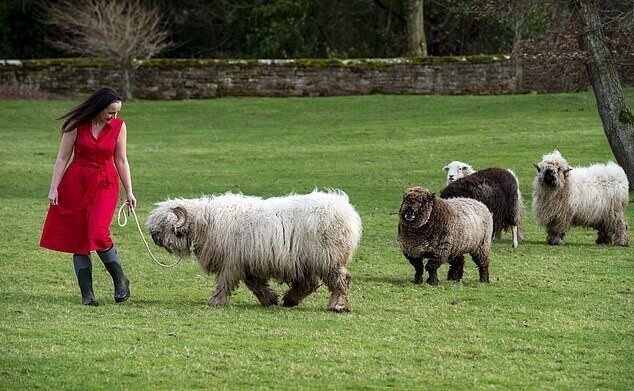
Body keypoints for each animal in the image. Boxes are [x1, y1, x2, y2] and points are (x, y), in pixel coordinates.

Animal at [145, 190, 358, 312]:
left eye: (164, 224)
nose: (153, 236)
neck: (207, 223)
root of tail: (347, 211)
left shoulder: (231, 263)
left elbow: (225, 283)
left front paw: (216, 301)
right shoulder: (247, 263)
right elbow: (254, 284)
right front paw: (269, 299)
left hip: (327, 258)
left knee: (340, 280)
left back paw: (338, 305)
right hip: (308, 260)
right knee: (309, 283)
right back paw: (290, 300)